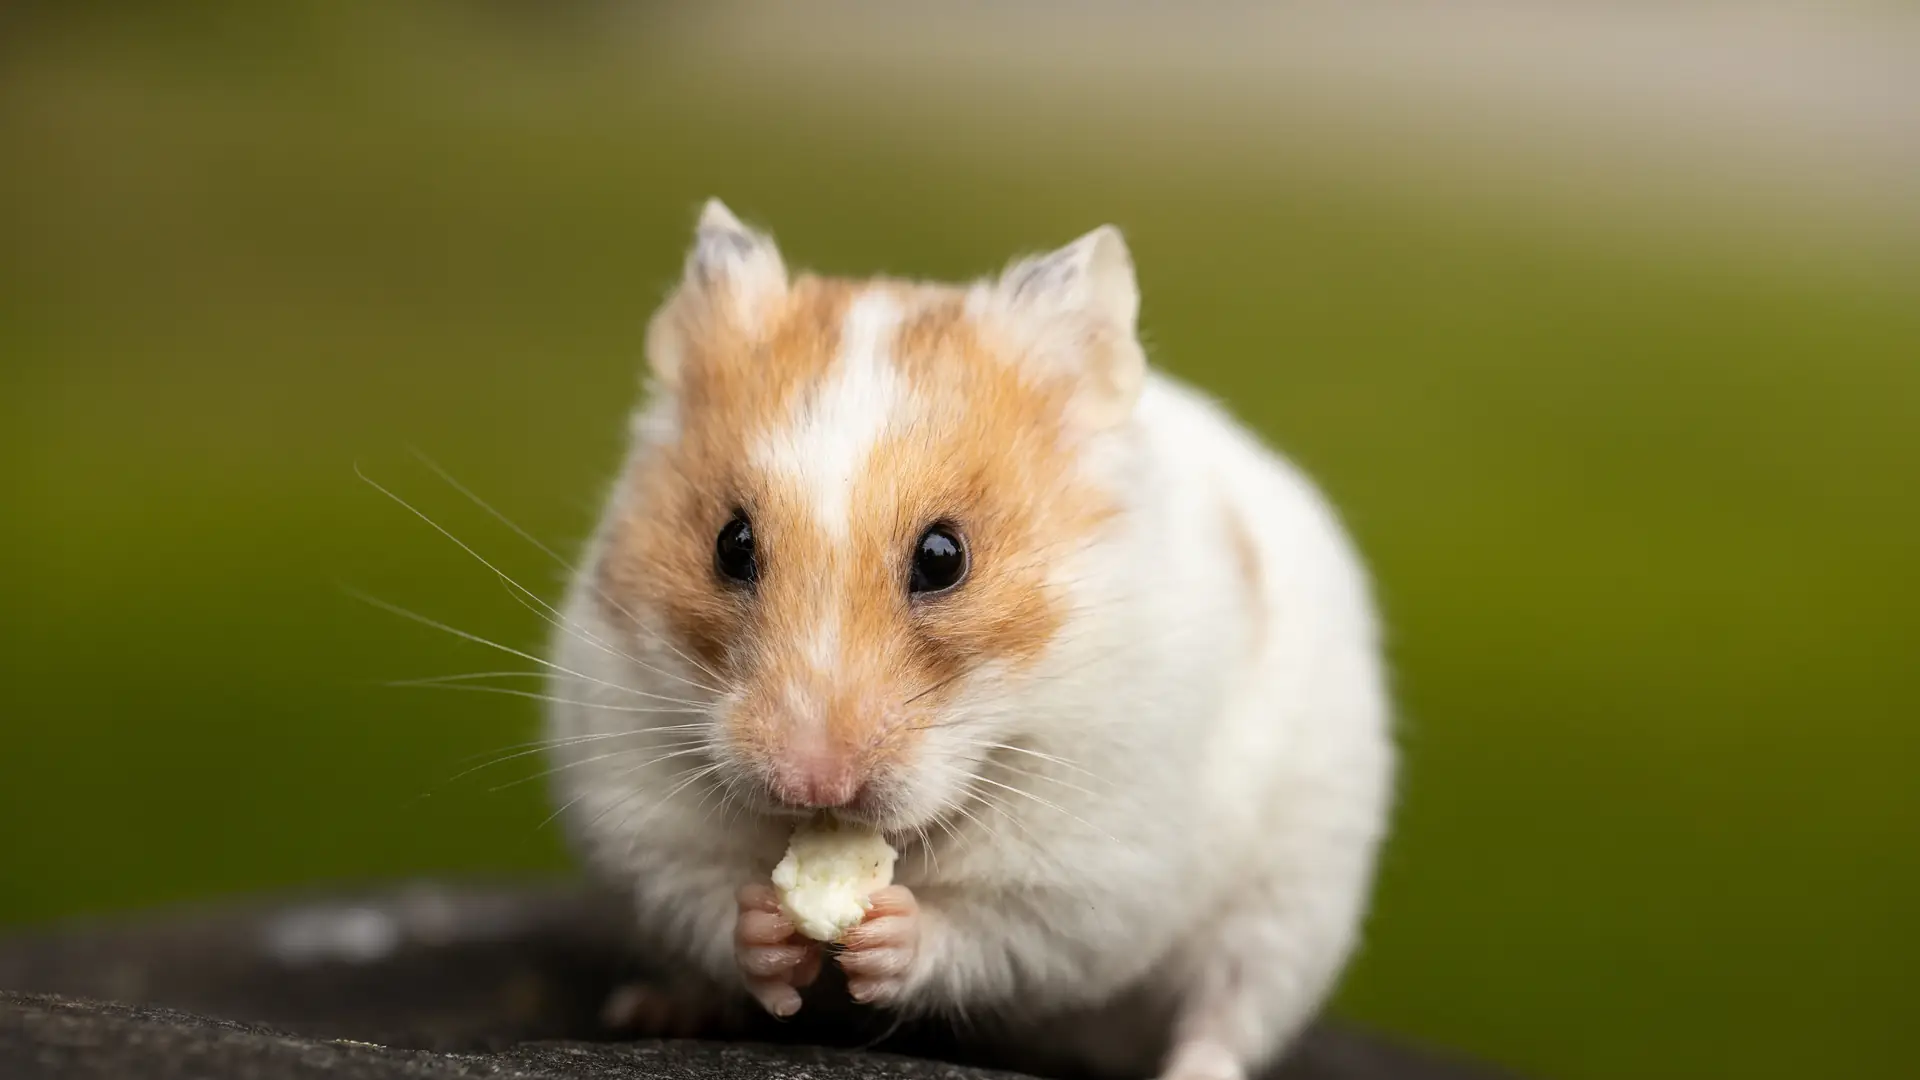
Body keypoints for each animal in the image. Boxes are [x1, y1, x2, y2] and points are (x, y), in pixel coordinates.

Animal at [541, 199, 1397, 1076]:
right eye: (730, 544)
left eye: (944, 557)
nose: (814, 784)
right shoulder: (638, 803)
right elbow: (706, 898)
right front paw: (770, 930)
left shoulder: (1089, 869)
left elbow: (989, 933)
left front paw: (887, 934)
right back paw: (655, 1008)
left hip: (1291, 906)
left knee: (1228, 1014)